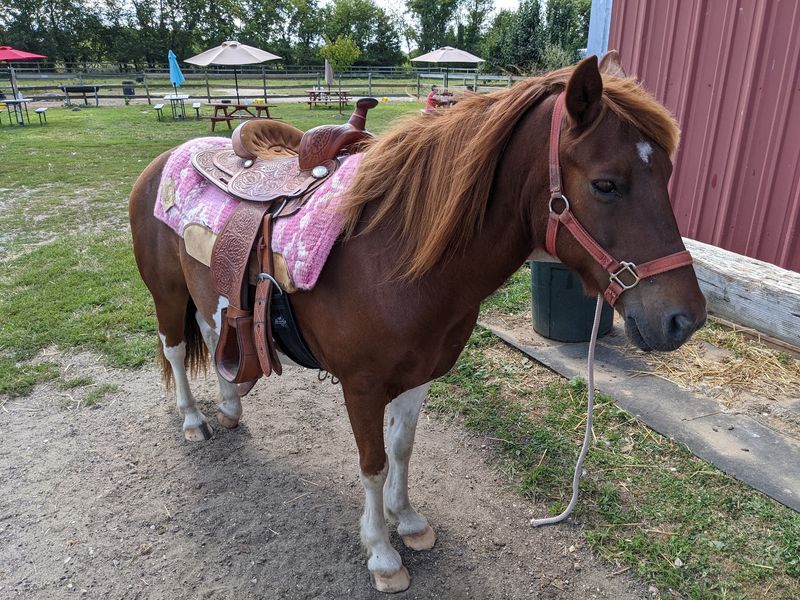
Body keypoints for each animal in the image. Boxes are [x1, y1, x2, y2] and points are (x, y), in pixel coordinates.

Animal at [128, 53, 706, 593]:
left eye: (668, 175)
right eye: (606, 184)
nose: (685, 319)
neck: (395, 256)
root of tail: (167, 157)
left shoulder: (419, 375)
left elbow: (402, 448)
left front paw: (405, 519)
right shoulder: (361, 387)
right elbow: (373, 462)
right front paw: (382, 554)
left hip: (211, 293)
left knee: (211, 334)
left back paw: (229, 408)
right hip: (168, 295)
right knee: (175, 348)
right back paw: (192, 420)